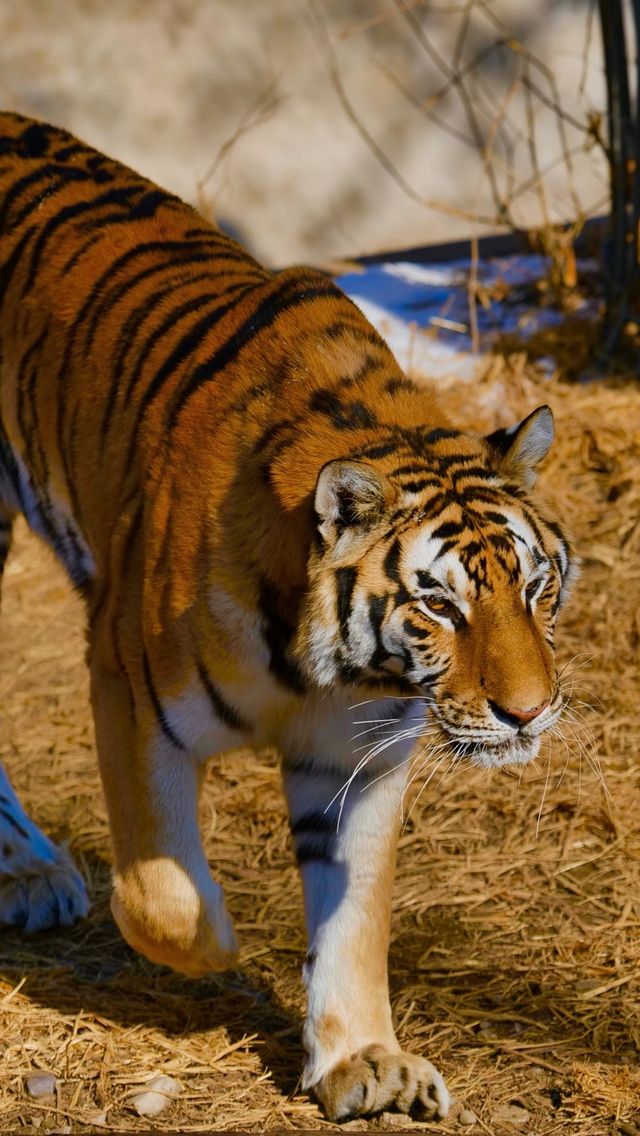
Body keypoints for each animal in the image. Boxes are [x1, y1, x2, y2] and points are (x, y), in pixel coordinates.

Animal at [0, 110, 577, 1122]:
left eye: (535, 588)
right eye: (439, 603)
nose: (529, 712)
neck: (332, 668)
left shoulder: (360, 755)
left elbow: (356, 915)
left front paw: (364, 1062)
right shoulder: (129, 691)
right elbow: (163, 896)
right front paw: (222, 948)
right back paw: (34, 873)